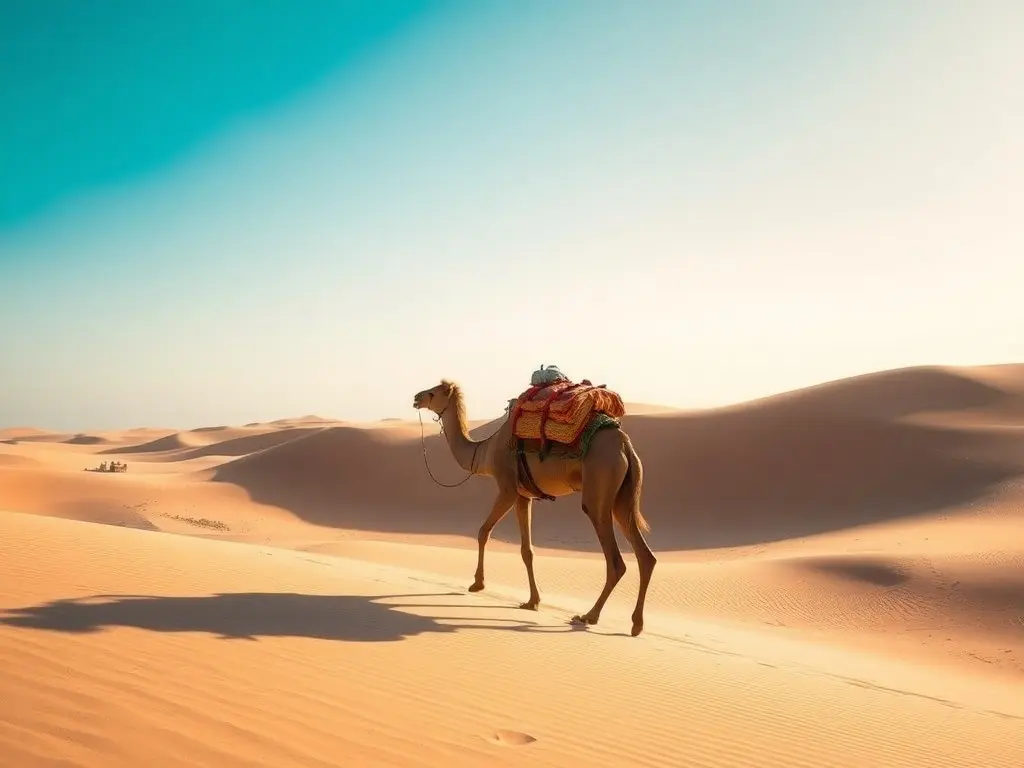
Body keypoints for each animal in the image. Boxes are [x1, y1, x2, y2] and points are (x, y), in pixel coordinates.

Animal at [413, 379, 656, 636]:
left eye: (433, 392)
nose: (416, 397)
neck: (486, 451)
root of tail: (624, 443)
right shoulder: (524, 496)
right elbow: (526, 550)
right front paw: (532, 601)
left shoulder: (507, 488)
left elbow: (483, 531)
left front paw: (477, 584)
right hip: (623, 497)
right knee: (645, 556)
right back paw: (636, 624)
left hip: (599, 485)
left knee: (615, 559)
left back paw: (589, 616)